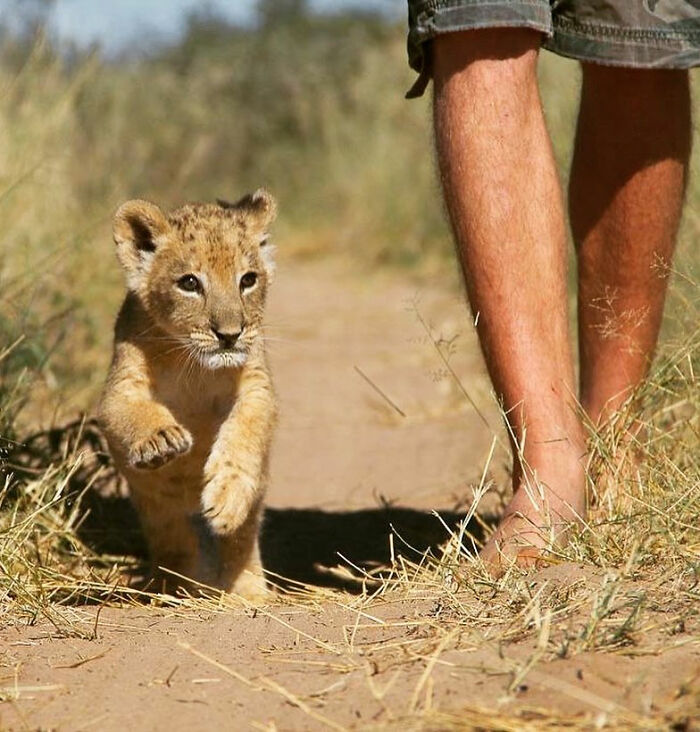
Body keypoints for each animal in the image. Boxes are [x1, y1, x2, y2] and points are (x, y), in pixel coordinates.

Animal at [98, 190, 278, 598]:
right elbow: (130, 411)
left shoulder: (256, 385)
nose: (230, 334)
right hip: (156, 509)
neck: (192, 365)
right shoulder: (119, 388)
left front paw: (226, 494)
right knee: (174, 542)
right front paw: (161, 440)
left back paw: (248, 590)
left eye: (248, 279)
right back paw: (174, 587)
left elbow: (246, 428)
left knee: (241, 541)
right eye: (190, 283)